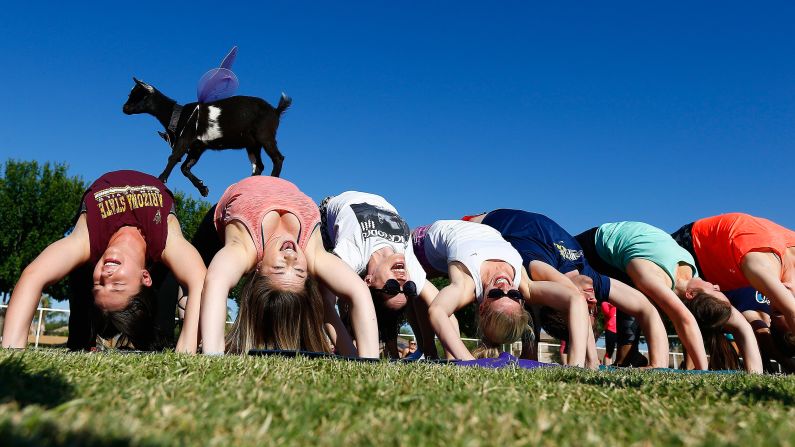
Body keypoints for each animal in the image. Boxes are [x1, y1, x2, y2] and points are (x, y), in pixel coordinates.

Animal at [126, 78, 294, 197]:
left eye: (138, 95)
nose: (124, 108)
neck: (180, 115)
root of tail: (276, 110)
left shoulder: (186, 139)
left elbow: (173, 158)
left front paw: (160, 179)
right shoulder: (198, 147)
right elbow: (184, 167)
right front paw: (203, 189)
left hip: (265, 136)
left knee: (278, 158)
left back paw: (273, 181)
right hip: (252, 145)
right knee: (258, 165)